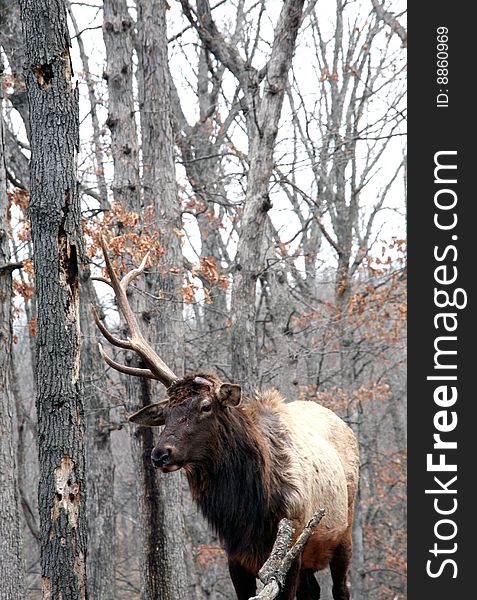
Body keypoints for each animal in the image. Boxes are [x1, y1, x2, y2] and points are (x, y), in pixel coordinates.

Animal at [93, 239, 358, 600]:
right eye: (167, 412)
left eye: (206, 406)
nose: (160, 454)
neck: (249, 511)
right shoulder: (236, 556)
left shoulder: (291, 542)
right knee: (314, 590)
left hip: (343, 532)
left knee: (341, 587)